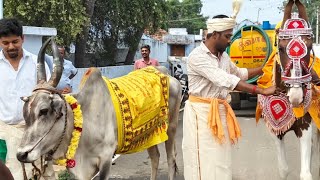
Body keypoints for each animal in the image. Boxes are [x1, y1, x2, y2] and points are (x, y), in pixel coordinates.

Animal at [15, 38, 181, 180]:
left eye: (43, 111)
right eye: (25, 113)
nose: (21, 155)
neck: (86, 120)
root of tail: (167, 73)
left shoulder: (106, 158)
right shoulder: (79, 170)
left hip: (171, 127)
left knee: (171, 159)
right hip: (150, 135)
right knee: (155, 157)